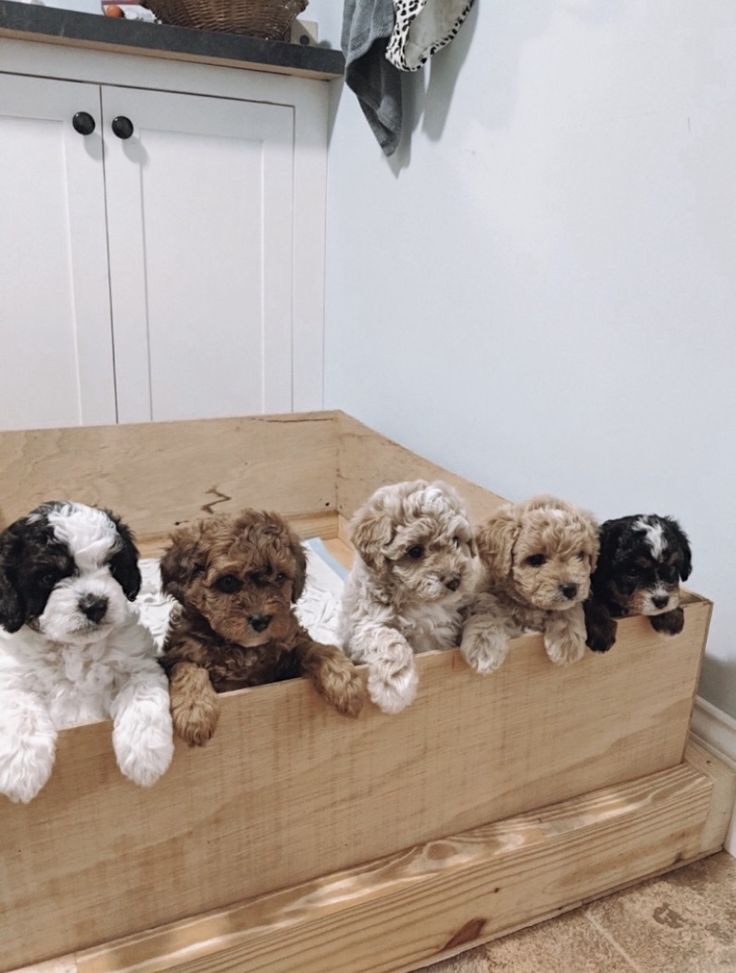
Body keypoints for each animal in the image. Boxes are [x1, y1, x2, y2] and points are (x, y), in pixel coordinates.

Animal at [0, 498, 174, 800]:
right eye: (47, 576)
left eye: (111, 567)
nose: (95, 605)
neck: (73, 650)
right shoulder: (10, 677)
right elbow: (19, 708)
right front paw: (21, 770)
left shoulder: (138, 662)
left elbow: (142, 694)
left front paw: (146, 755)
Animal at [162, 508, 366, 744]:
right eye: (228, 582)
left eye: (280, 576)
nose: (261, 620)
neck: (244, 650)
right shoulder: (181, 651)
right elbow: (186, 667)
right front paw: (195, 711)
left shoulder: (288, 652)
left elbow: (316, 649)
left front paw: (344, 680)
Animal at [338, 480, 478, 712]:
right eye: (415, 551)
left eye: (457, 541)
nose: (454, 580)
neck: (419, 602)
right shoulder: (365, 624)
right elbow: (389, 639)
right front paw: (396, 688)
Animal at [466, 498, 600, 672]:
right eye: (536, 559)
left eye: (580, 555)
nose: (570, 589)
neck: (528, 607)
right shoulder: (486, 593)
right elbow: (486, 612)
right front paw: (483, 646)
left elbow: (569, 608)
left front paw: (568, 640)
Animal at [584, 516, 692, 652]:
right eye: (632, 571)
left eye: (672, 568)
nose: (661, 601)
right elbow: (591, 599)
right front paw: (601, 630)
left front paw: (671, 616)